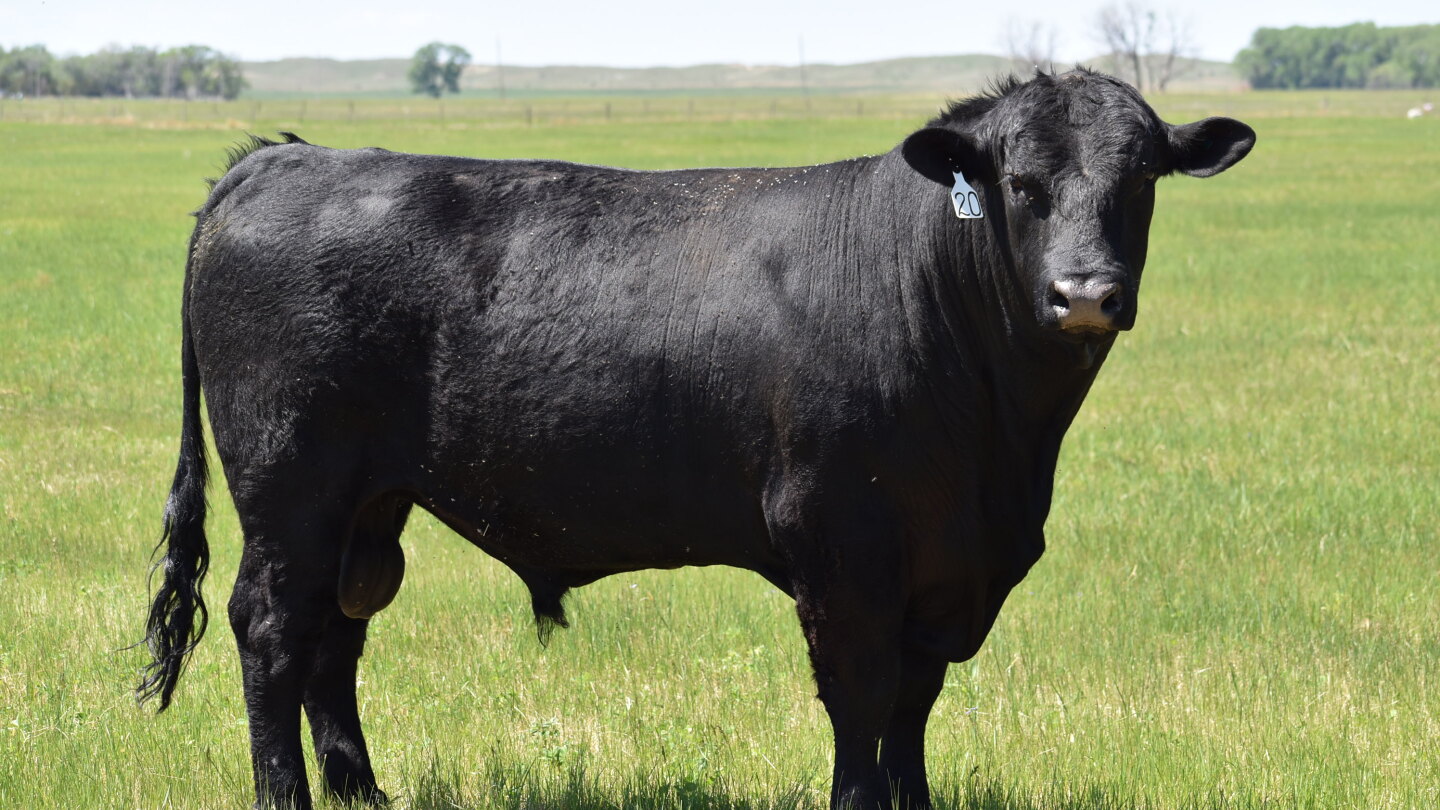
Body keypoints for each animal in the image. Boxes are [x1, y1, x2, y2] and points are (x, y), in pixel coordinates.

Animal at [140, 69, 1254, 809]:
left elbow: (913, 707)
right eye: (1020, 183)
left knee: (337, 635)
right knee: (273, 631)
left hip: (366, 504)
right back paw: (287, 798)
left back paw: (364, 796)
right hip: (290, 487)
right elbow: (862, 699)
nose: (1085, 294)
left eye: (1142, 178)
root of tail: (284, 156)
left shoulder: (945, 566)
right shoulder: (841, 546)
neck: (1001, 447)